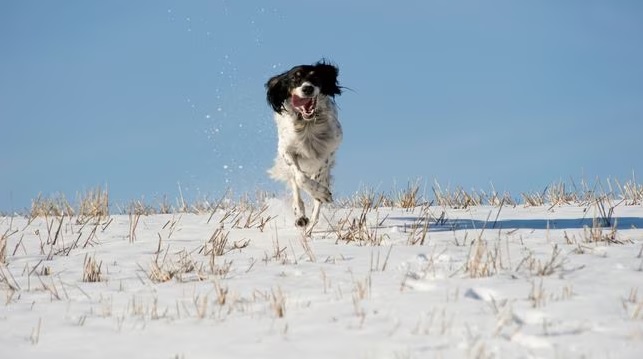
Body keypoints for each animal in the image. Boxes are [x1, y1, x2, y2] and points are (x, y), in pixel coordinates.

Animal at [266, 60, 342, 235]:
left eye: (315, 77)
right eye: (295, 78)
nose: (307, 88)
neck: (307, 124)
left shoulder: (328, 150)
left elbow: (317, 182)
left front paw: (321, 194)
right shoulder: (286, 150)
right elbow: (300, 178)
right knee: (296, 185)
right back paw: (301, 217)